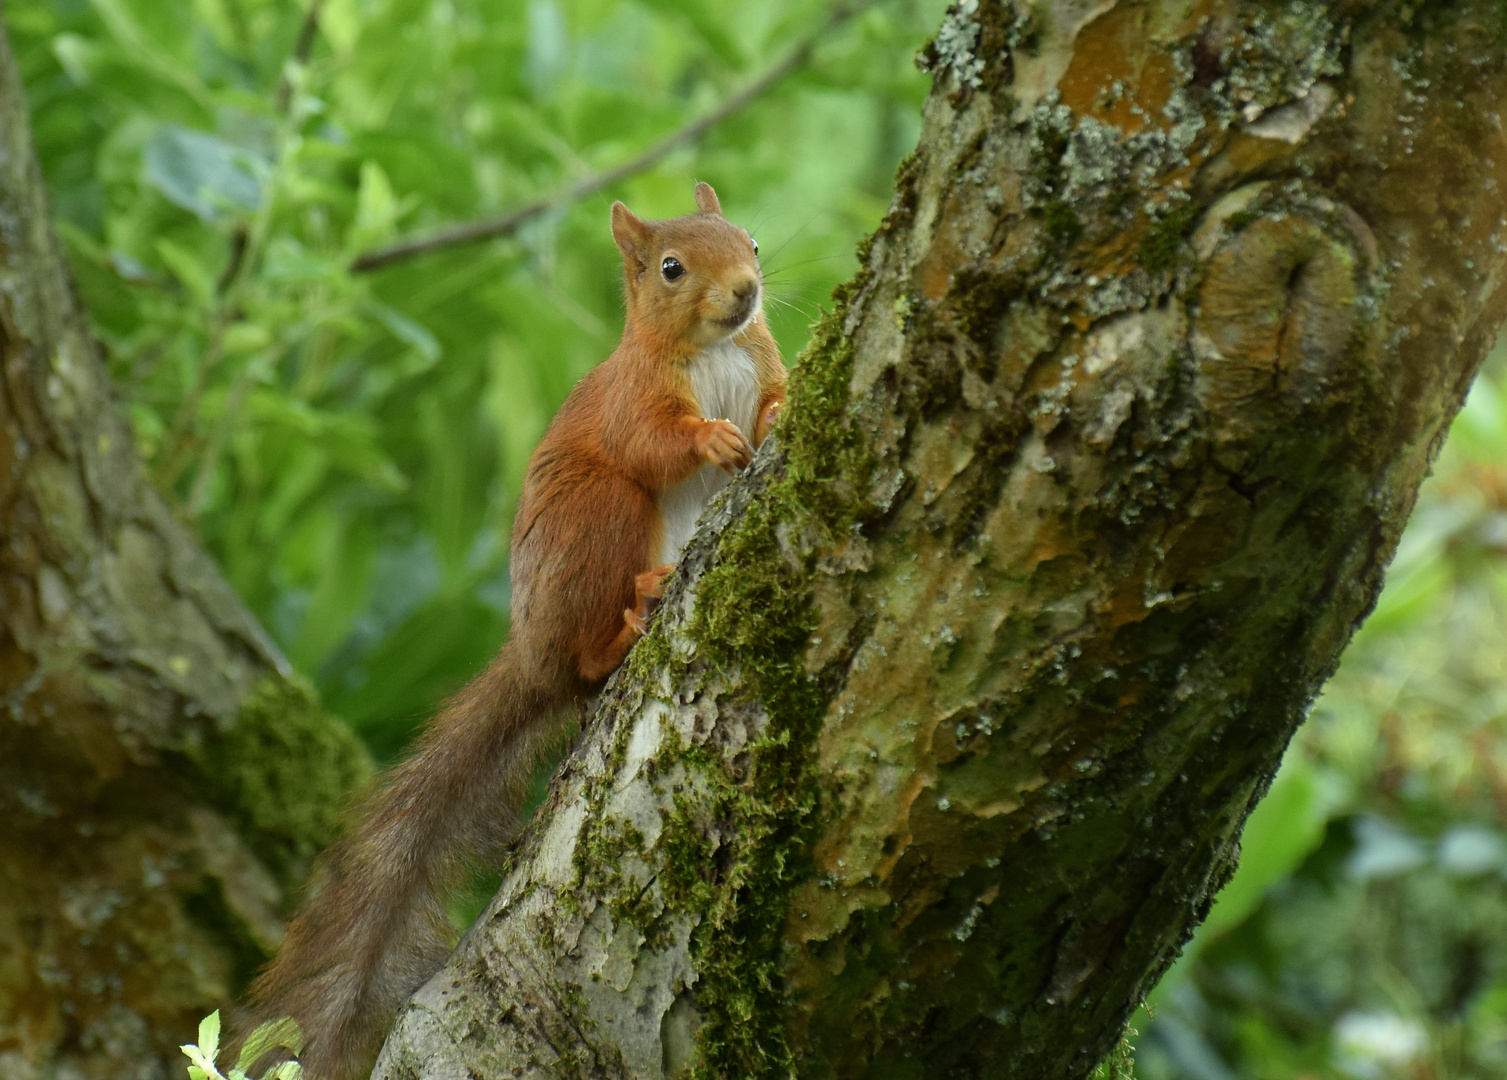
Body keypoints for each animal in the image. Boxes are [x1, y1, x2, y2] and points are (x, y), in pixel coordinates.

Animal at [239, 185, 783, 1078]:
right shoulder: (632, 396)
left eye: (752, 243)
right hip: (599, 519)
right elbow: (651, 442)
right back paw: (632, 616)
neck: (713, 351)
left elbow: (775, 399)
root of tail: (530, 655)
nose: (745, 292)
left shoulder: (760, 359)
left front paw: (780, 412)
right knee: (588, 651)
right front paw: (709, 436)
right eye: (671, 268)